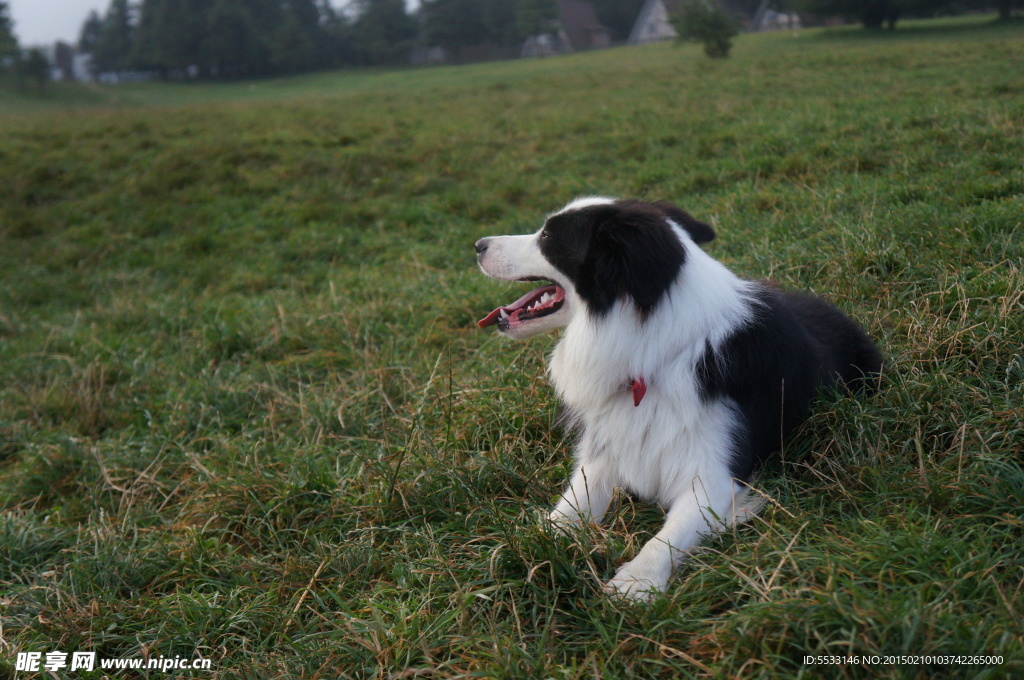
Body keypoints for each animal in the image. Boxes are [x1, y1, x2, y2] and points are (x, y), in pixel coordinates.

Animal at [473, 196, 880, 602]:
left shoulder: (715, 473)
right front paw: (532, 544)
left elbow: (666, 536)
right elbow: (571, 505)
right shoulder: (611, 444)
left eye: (548, 237)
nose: (478, 245)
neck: (653, 355)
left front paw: (636, 581)